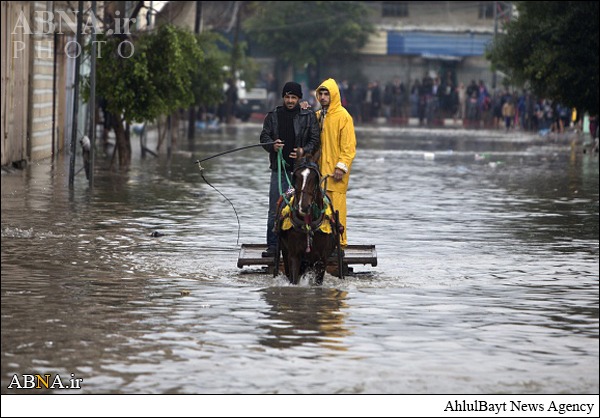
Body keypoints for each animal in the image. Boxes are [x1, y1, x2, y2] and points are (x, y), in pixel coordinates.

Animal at [274, 155, 340, 286]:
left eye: (315, 177)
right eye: (296, 176)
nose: (303, 207)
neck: (308, 224)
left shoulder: (322, 260)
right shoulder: (294, 256)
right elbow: (294, 280)